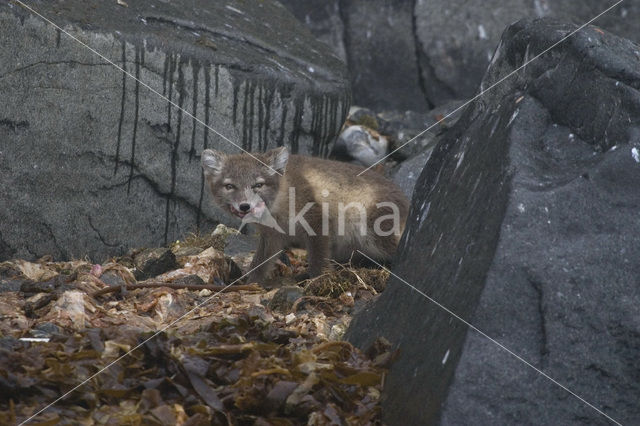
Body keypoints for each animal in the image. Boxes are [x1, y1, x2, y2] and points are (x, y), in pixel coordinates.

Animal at [202, 146, 408, 282]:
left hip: (375, 232)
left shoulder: (317, 221)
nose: (244, 206)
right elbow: (260, 263)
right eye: (230, 186)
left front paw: (318, 282)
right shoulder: (272, 236)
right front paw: (251, 283)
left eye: (258, 185)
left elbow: (317, 258)